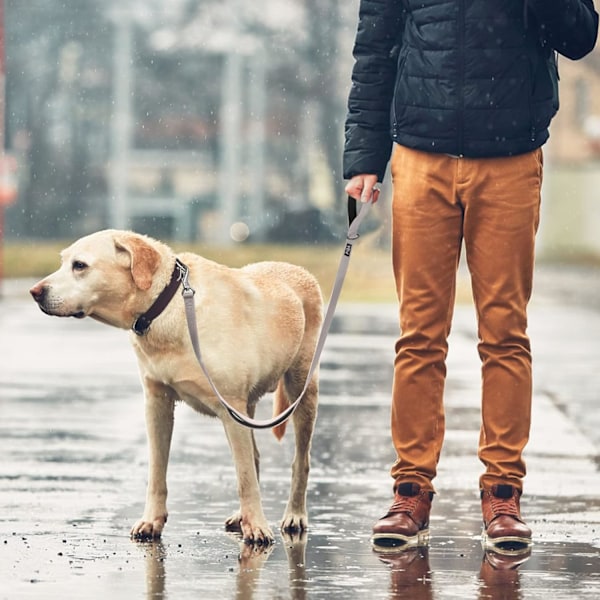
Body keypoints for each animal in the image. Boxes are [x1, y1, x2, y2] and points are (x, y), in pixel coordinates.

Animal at [30, 229, 322, 544]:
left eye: (80, 266)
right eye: (63, 262)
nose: (35, 292)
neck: (169, 306)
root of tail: (299, 269)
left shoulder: (231, 407)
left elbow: (245, 478)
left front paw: (256, 526)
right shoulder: (157, 403)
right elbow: (157, 472)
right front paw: (151, 521)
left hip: (301, 390)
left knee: (299, 462)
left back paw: (294, 515)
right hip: (249, 407)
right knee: (254, 457)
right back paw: (241, 515)